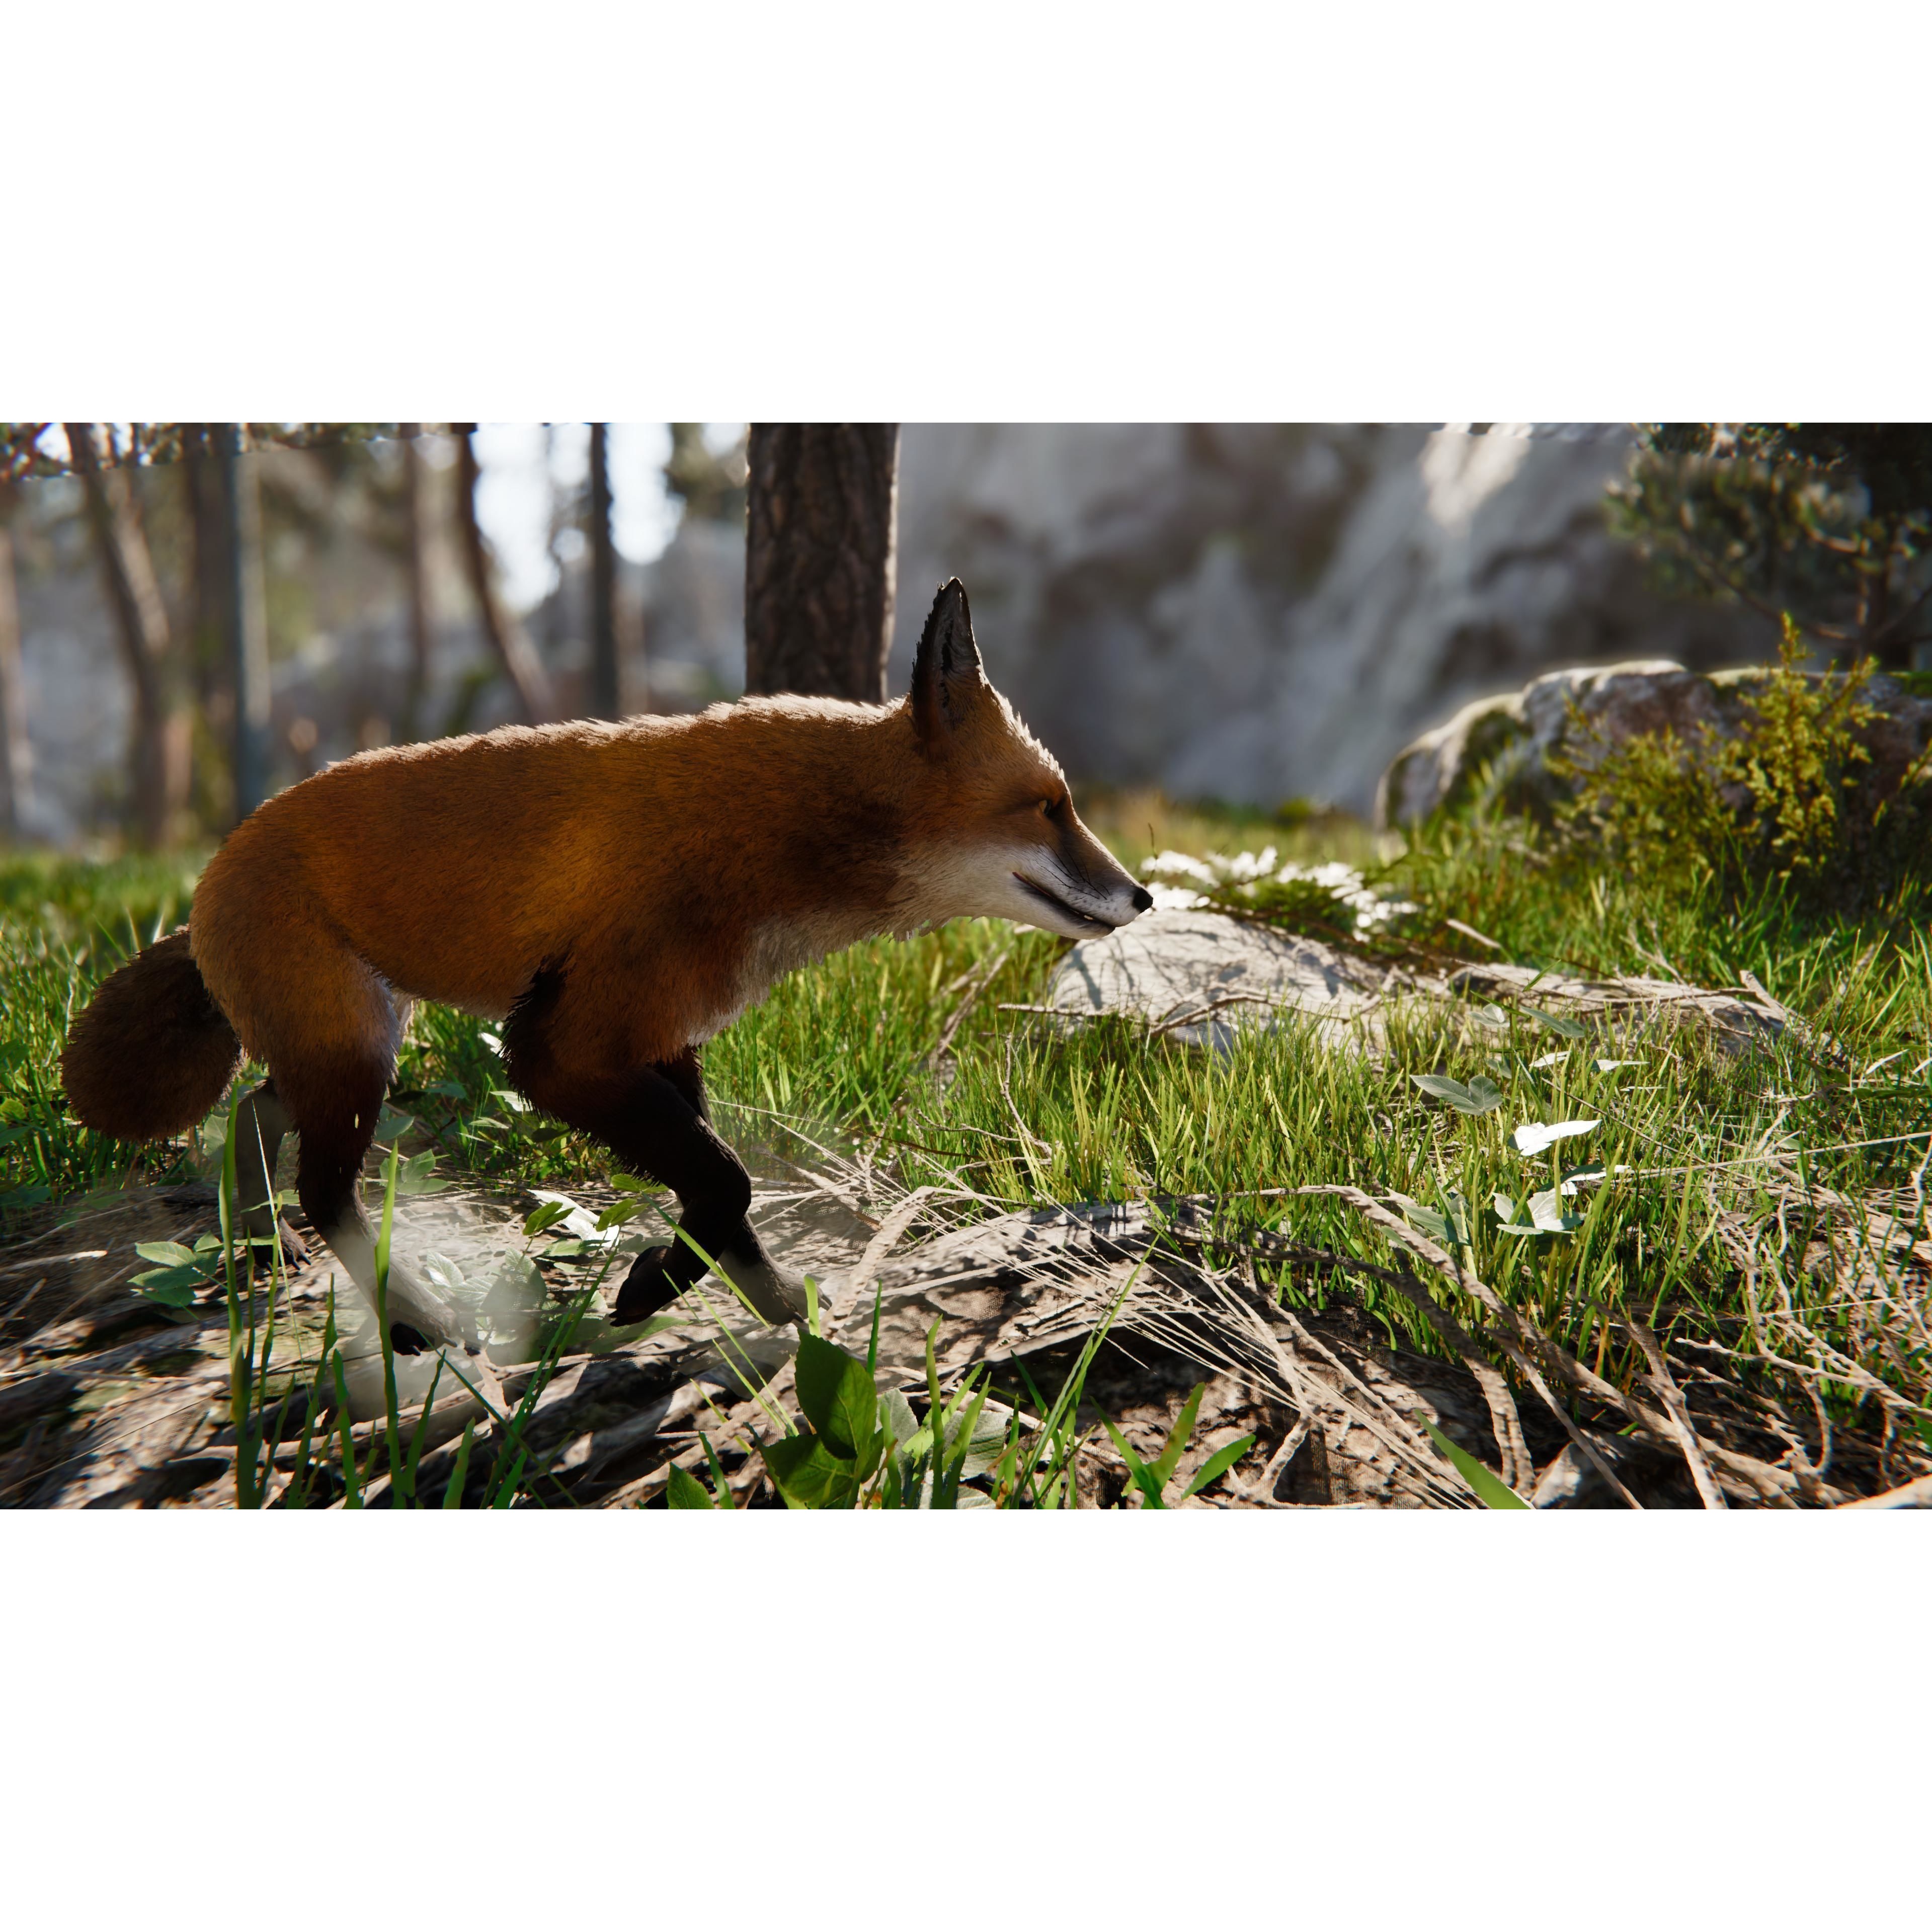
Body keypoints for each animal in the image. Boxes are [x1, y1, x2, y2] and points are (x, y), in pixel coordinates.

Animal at [61, 579, 1151, 1353]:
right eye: (1051, 808)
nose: (1143, 896)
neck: (769, 836)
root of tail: (209, 875)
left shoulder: (662, 1038)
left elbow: (721, 1199)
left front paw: (758, 1302)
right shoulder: (562, 1049)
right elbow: (727, 1182)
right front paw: (663, 1292)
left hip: (346, 1042)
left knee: (254, 1117)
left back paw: (257, 1246)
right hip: (356, 1053)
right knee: (325, 1191)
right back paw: (410, 1319)